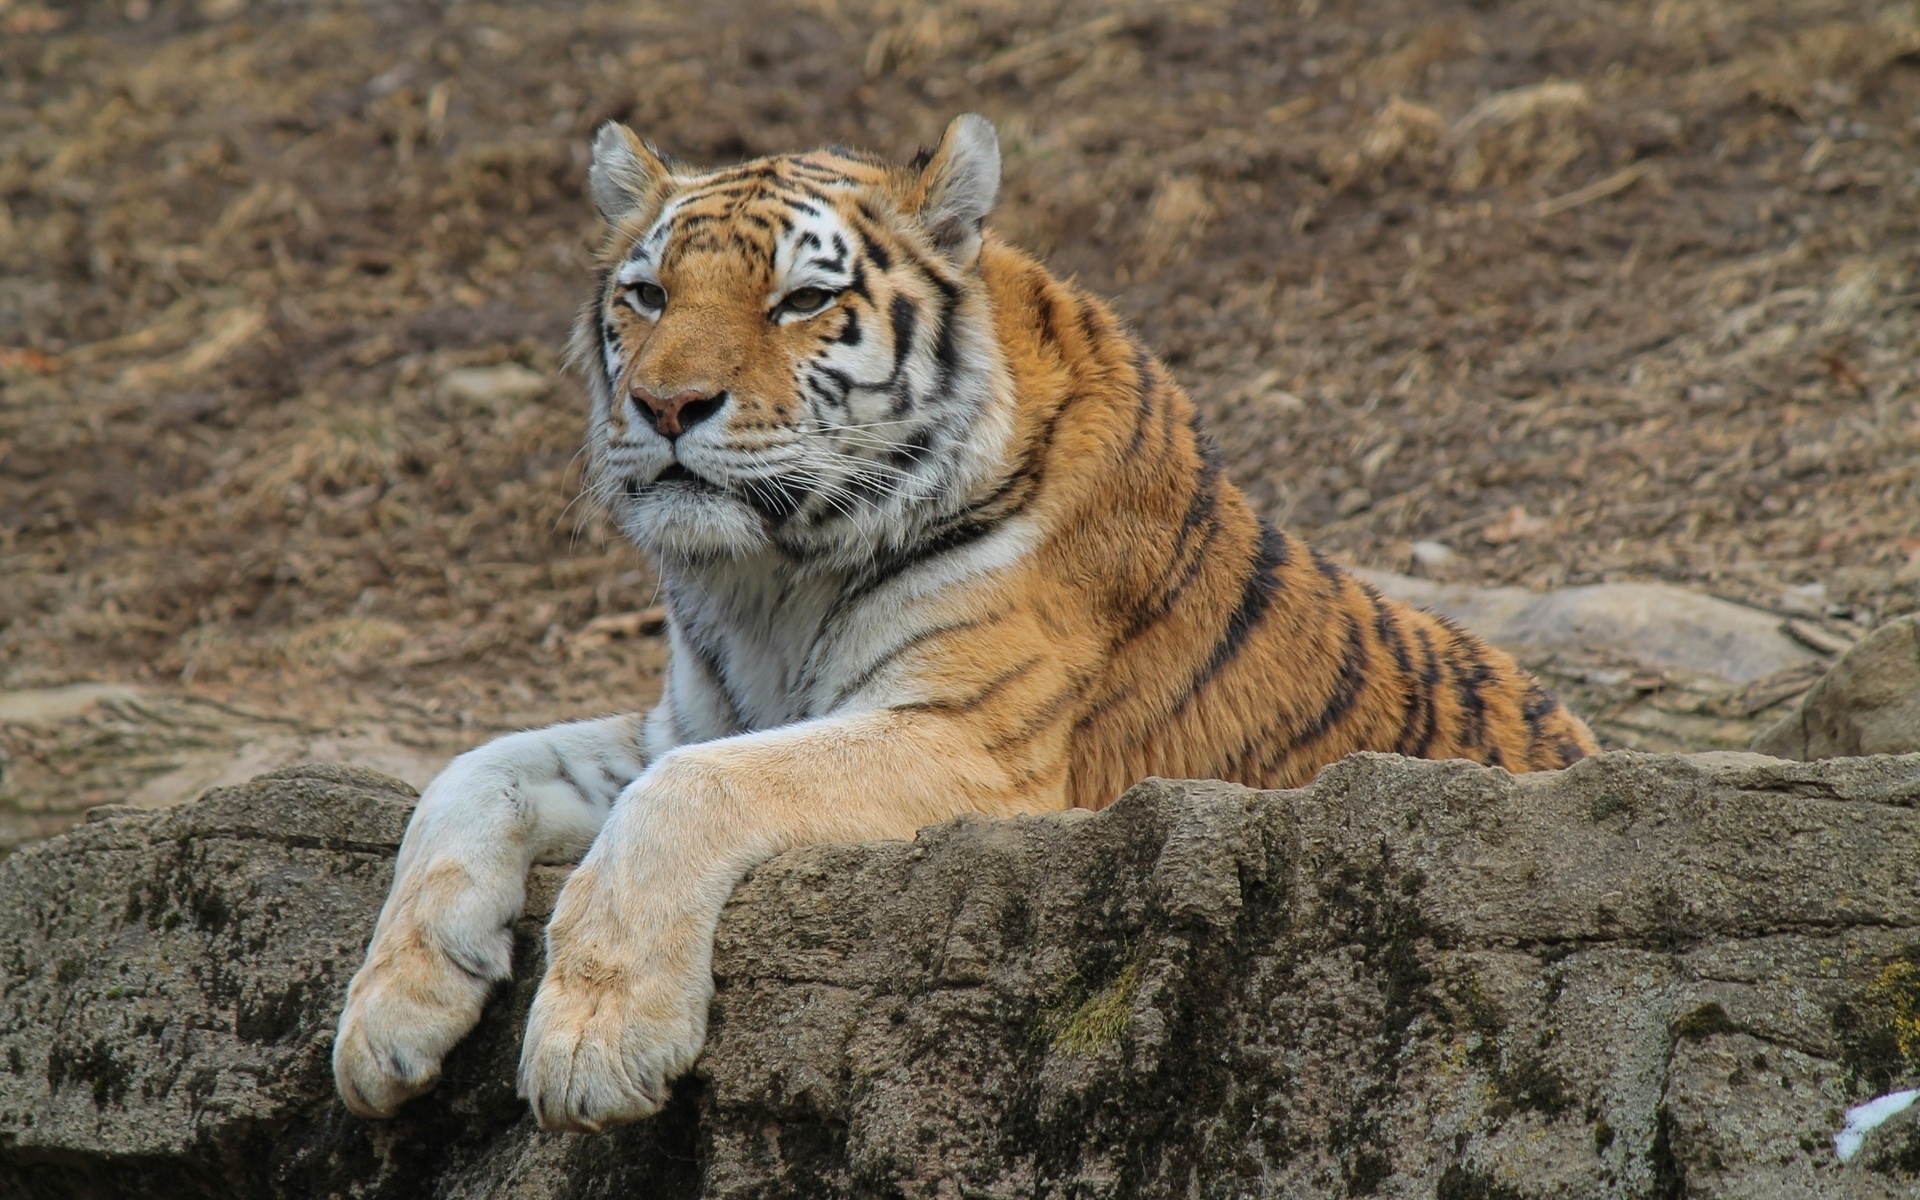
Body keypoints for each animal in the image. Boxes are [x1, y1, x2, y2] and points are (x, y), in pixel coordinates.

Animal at [334, 112, 1605, 1128]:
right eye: (646, 296)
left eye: (802, 300)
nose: (665, 405)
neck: (770, 578)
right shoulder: (687, 720)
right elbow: (474, 768)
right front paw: (386, 1019)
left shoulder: (971, 741)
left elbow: (686, 795)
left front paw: (593, 1046)